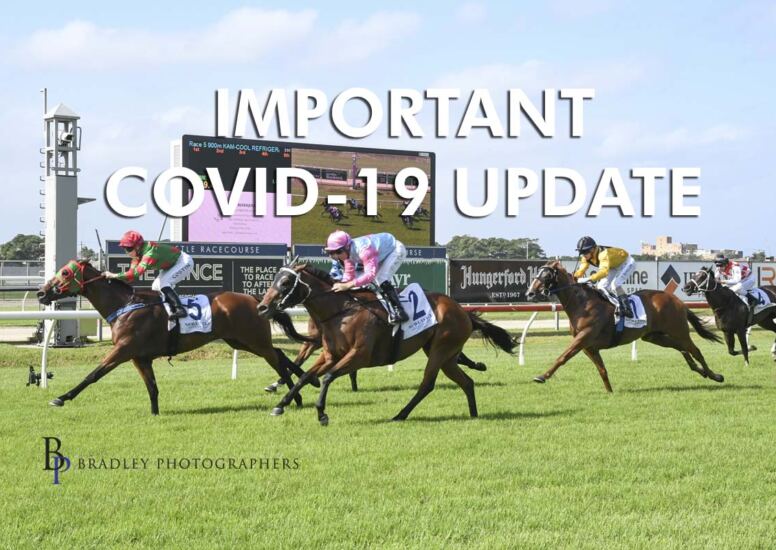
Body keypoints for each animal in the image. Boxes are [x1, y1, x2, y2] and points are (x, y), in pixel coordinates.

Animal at [37, 259, 312, 415]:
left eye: (64, 273)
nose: (41, 292)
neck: (126, 305)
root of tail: (255, 299)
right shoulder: (140, 357)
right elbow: (152, 387)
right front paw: (155, 414)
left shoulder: (123, 350)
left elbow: (93, 374)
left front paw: (61, 398)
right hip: (241, 340)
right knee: (279, 354)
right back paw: (302, 386)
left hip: (254, 339)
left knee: (276, 358)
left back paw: (295, 395)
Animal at [256, 263, 516, 425]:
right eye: (275, 279)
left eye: (286, 282)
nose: (262, 307)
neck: (341, 311)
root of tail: (463, 311)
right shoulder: (330, 355)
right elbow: (304, 376)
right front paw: (280, 405)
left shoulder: (359, 355)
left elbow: (328, 377)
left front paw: (321, 413)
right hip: (446, 356)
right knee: (466, 382)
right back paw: (473, 414)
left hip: (440, 351)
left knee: (427, 384)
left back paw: (400, 415)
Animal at [526, 261, 724, 392]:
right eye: (536, 273)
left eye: (546, 275)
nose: (529, 293)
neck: (582, 303)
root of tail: (677, 301)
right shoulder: (588, 346)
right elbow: (602, 369)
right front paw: (610, 392)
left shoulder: (584, 337)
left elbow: (563, 357)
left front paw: (542, 376)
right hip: (654, 336)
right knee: (682, 348)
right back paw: (701, 371)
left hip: (679, 330)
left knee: (695, 350)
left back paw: (715, 375)